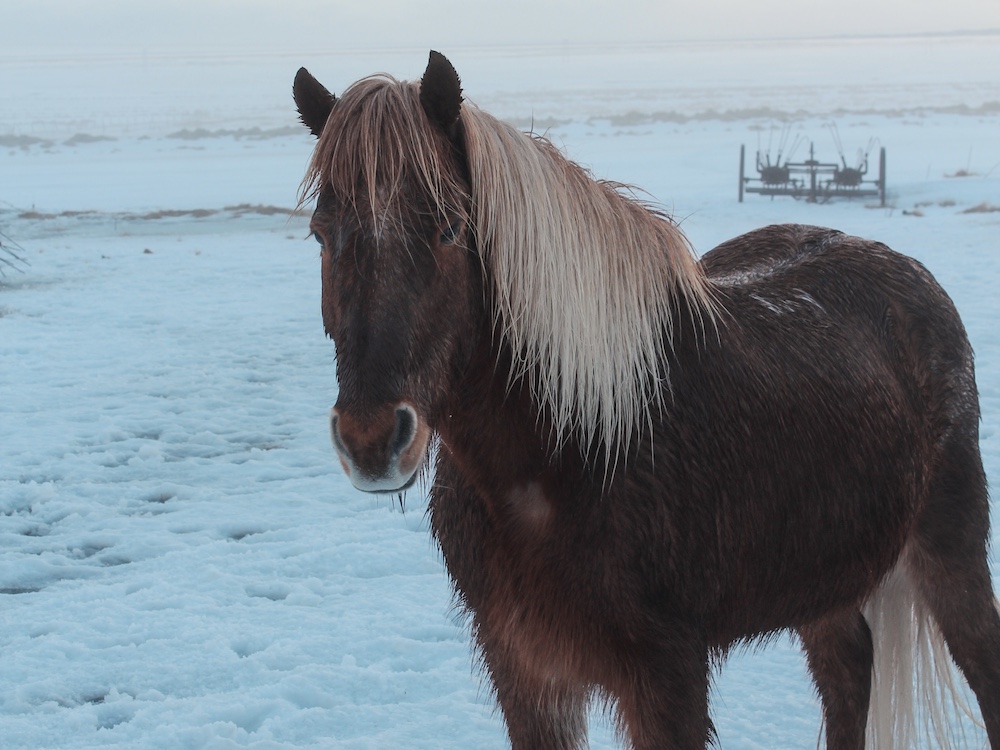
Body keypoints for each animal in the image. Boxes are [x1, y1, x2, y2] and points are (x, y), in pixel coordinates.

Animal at [292, 51, 1000, 749]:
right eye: (322, 235)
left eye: (448, 227)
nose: (371, 441)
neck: (570, 449)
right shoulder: (524, 673)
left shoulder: (666, 676)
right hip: (823, 578)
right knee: (848, 671)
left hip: (949, 547)